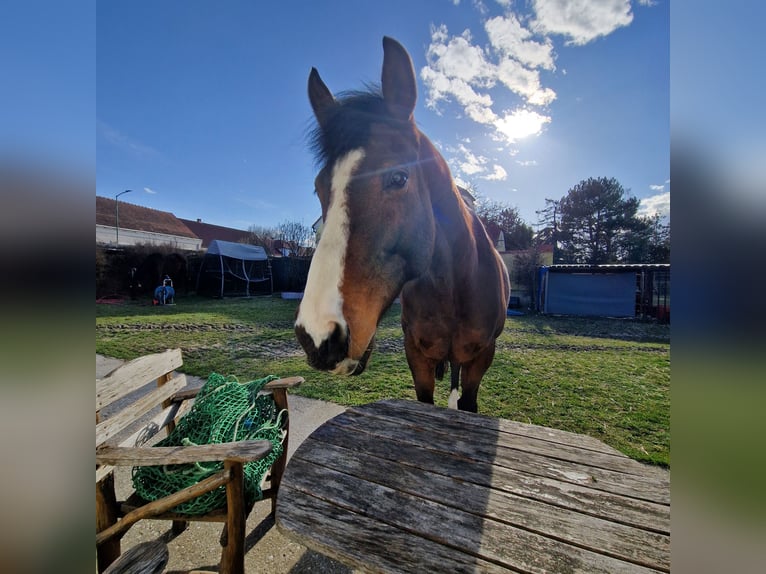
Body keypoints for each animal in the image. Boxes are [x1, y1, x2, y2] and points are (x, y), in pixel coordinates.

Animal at [294, 37, 510, 412]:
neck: (454, 285)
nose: (317, 336)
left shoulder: (481, 359)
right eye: (319, 187)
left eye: (399, 177)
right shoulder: (418, 357)